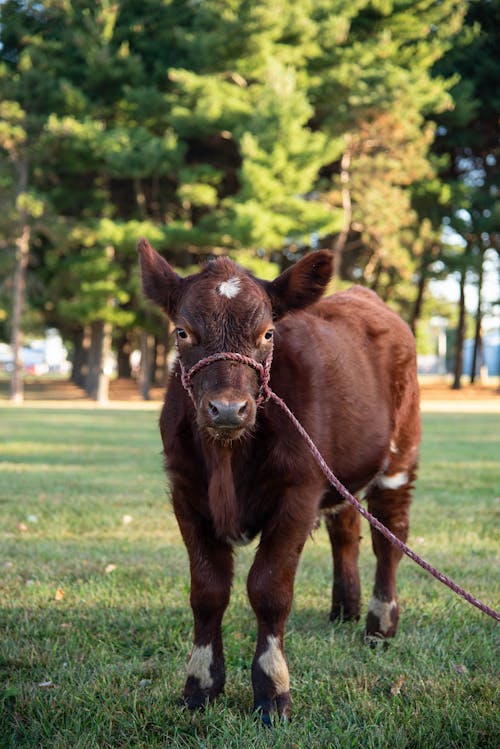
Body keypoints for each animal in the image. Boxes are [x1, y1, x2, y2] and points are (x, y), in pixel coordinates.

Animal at [139, 238, 420, 720]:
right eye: (182, 332)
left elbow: (269, 588)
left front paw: (272, 690)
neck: (228, 457)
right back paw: (344, 609)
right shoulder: (185, 492)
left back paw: (379, 625)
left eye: (268, 333)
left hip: (400, 456)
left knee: (389, 536)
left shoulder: (298, 491)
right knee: (345, 529)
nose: (228, 409)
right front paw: (200, 686)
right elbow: (207, 590)